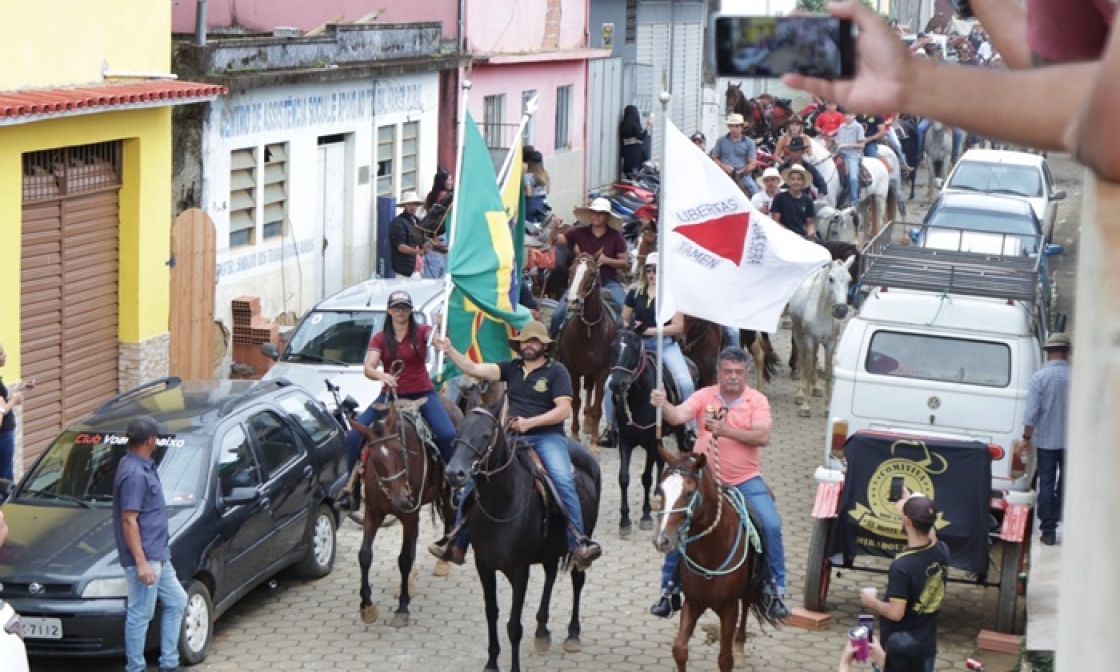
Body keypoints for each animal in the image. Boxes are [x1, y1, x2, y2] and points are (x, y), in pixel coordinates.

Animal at [349, 398, 459, 622]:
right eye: (374, 458)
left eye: (401, 451)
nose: (401, 500)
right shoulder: (372, 513)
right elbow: (365, 555)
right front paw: (367, 606)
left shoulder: (409, 514)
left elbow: (404, 558)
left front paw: (402, 606)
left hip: (445, 494)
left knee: (450, 517)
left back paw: (442, 561)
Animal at [445, 398, 604, 672]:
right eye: (458, 432)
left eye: (486, 435)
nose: (455, 473)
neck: (501, 504)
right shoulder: (484, 566)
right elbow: (491, 612)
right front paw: (491, 663)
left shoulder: (519, 570)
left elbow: (513, 626)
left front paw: (513, 666)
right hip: (550, 547)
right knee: (550, 574)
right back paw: (542, 629)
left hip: (581, 542)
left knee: (577, 580)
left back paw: (573, 633)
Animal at [557, 254, 622, 443]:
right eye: (571, 270)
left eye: (592, 274)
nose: (573, 301)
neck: (589, 329)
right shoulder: (573, 370)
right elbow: (576, 401)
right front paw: (574, 433)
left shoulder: (603, 371)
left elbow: (598, 405)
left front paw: (593, 440)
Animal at [654, 445, 775, 672]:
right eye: (661, 490)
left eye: (689, 492)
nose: (662, 540)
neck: (709, 553)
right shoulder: (692, 603)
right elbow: (679, 649)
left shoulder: (729, 609)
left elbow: (725, 659)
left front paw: (734, 653)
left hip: (750, 588)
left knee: (746, 607)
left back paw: (740, 648)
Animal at [788, 257, 855, 414]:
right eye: (831, 278)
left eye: (849, 280)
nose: (841, 310)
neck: (822, 312)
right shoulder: (809, 339)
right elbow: (807, 367)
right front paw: (805, 407)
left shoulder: (830, 342)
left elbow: (828, 372)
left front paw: (827, 407)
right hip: (799, 334)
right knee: (803, 360)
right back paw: (800, 394)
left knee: (814, 359)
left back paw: (817, 387)